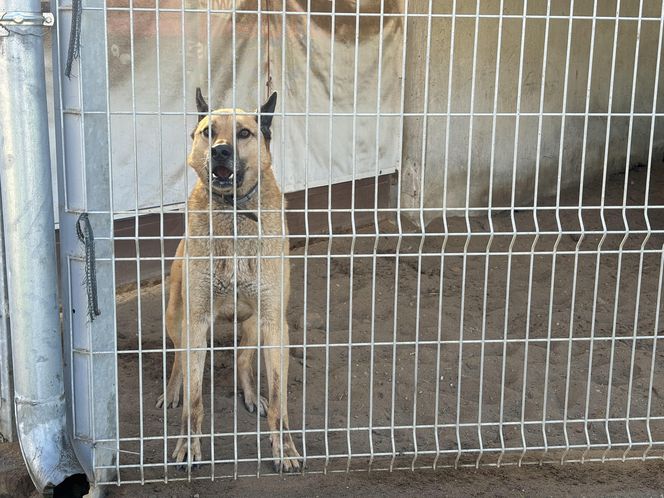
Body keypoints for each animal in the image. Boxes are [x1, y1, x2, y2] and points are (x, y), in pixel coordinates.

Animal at [156, 87, 300, 472]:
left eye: (244, 133)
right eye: (209, 132)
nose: (221, 150)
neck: (234, 211)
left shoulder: (274, 323)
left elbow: (278, 397)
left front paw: (284, 447)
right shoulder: (197, 319)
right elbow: (194, 400)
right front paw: (188, 445)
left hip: (254, 326)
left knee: (243, 361)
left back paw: (250, 394)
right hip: (177, 318)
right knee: (179, 360)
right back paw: (172, 391)